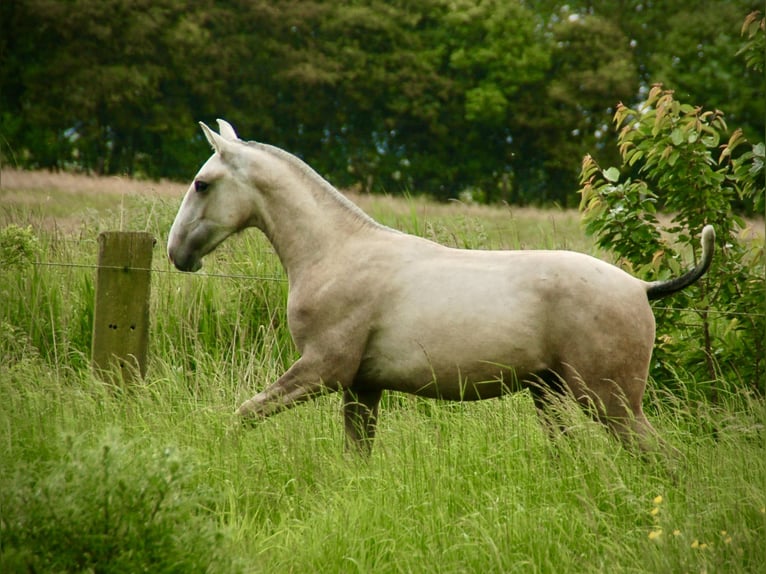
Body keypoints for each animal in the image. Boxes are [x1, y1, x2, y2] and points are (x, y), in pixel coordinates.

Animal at [166, 119, 712, 456]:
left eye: (202, 184)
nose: (177, 254)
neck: (335, 252)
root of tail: (641, 287)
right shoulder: (362, 388)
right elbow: (354, 457)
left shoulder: (323, 370)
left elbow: (243, 414)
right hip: (552, 397)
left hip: (610, 402)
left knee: (667, 461)